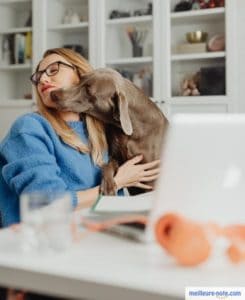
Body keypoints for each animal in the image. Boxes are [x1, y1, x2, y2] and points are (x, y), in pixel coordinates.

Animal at [50, 67, 167, 195]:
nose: (53, 94)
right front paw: (108, 185)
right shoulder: (117, 157)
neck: (130, 131)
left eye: (88, 91)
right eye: (79, 79)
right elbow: (108, 165)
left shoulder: (152, 174)